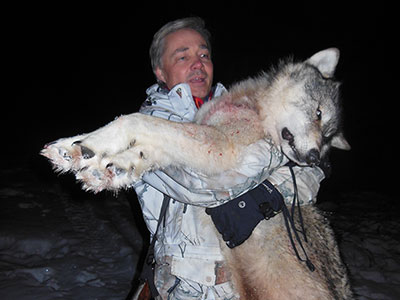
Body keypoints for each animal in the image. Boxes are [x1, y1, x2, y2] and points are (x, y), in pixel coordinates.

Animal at [41, 48, 354, 298]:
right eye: (318, 114)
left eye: (327, 137)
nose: (315, 159)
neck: (256, 108)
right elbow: (140, 147)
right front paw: (85, 155)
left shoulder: (218, 149)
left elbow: (134, 121)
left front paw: (92, 150)